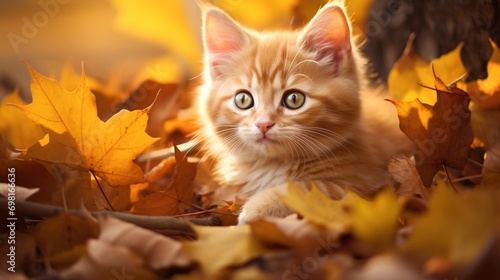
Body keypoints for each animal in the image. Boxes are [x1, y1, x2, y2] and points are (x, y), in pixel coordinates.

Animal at [197, 2, 412, 224]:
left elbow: (307, 189)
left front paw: (258, 207)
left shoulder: (365, 184)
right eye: (243, 100)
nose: (263, 124)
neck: (273, 165)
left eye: (294, 99)